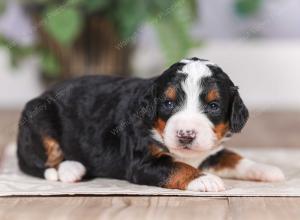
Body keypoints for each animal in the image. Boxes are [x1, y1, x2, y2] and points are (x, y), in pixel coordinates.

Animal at [17, 57, 284, 192]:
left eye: (214, 106)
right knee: (39, 163)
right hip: (39, 118)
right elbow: (176, 167)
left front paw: (266, 169)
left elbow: (233, 157)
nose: (186, 135)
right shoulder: (143, 163)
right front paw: (203, 179)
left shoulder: (211, 151)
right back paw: (70, 169)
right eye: (168, 103)